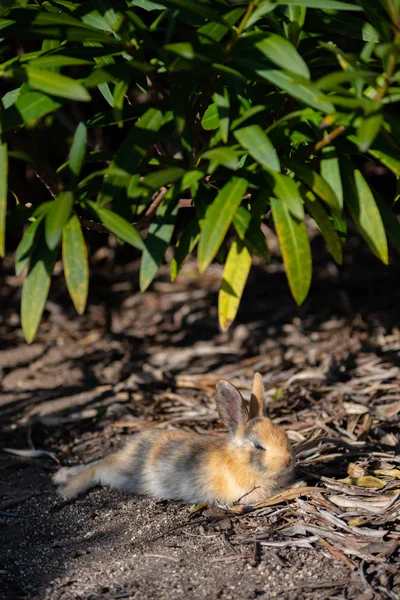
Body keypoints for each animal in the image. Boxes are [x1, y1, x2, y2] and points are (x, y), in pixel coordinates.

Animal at [53, 376, 296, 506]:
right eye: (258, 446)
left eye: (284, 435)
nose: (289, 462)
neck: (239, 462)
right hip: (119, 471)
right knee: (97, 468)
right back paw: (66, 490)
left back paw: (60, 477)